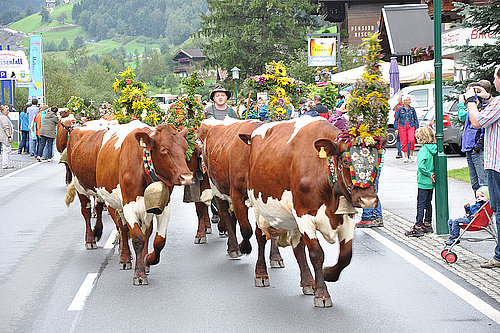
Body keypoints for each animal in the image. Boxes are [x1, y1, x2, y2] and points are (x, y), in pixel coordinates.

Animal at [94, 120, 193, 284]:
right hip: (113, 203)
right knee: (122, 228)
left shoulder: (165, 205)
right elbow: (137, 238)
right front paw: (139, 275)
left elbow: (159, 240)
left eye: (184, 148)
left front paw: (148, 260)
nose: (187, 177)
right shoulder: (128, 205)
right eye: (164, 149)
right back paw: (125, 259)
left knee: (147, 230)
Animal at [239, 116, 378, 306]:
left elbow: (346, 255)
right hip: (260, 207)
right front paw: (322, 294)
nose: (368, 200)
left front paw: (328, 274)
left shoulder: (347, 217)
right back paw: (261, 274)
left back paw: (307, 282)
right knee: (260, 237)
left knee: (297, 246)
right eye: (345, 161)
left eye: (377, 161)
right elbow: (317, 254)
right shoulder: (304, 215)